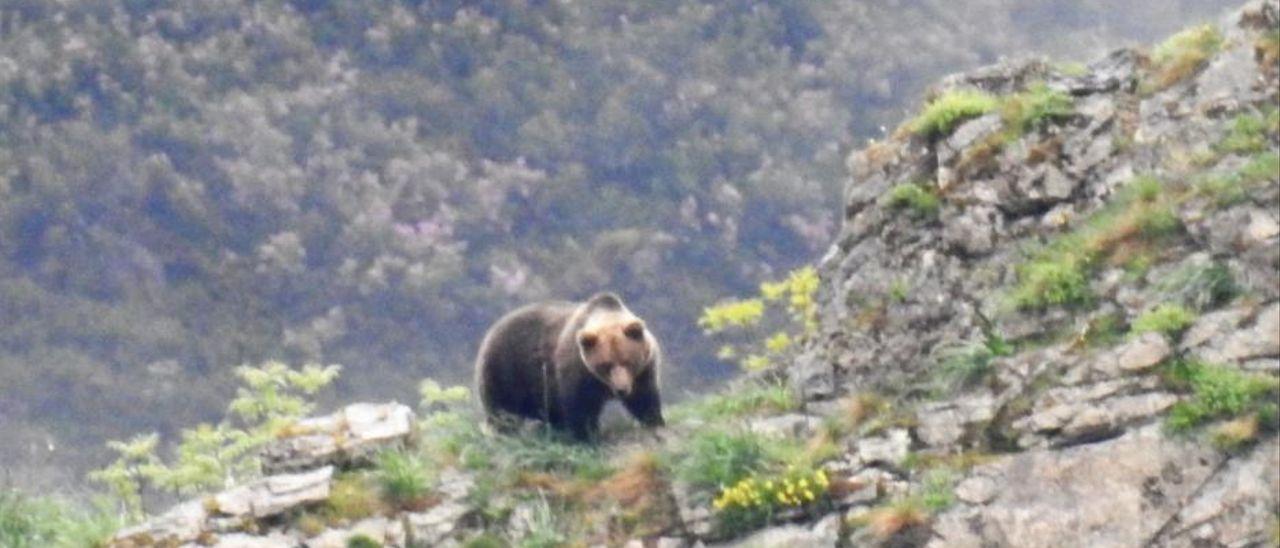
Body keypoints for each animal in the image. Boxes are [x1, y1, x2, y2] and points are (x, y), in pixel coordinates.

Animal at [476, 290, 665, 440]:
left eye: (627, 361)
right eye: (605, 364)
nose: (621, 389)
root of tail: (491, 330)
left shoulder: (644, 369)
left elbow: (644, 397)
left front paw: (654, 421)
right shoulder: (577, 370)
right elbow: (579, 407)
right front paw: (587, 435)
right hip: (506, 370)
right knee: (503, 412)